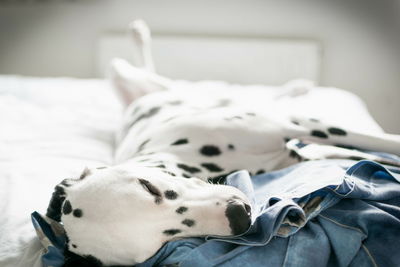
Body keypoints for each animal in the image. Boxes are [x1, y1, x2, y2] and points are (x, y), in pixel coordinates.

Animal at [46, 19, 400, 266]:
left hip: (139, 77)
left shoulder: (298, 124)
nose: (240, 214)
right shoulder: (299, 152)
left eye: (148, 187)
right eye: (161, 242)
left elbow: (381, 142)